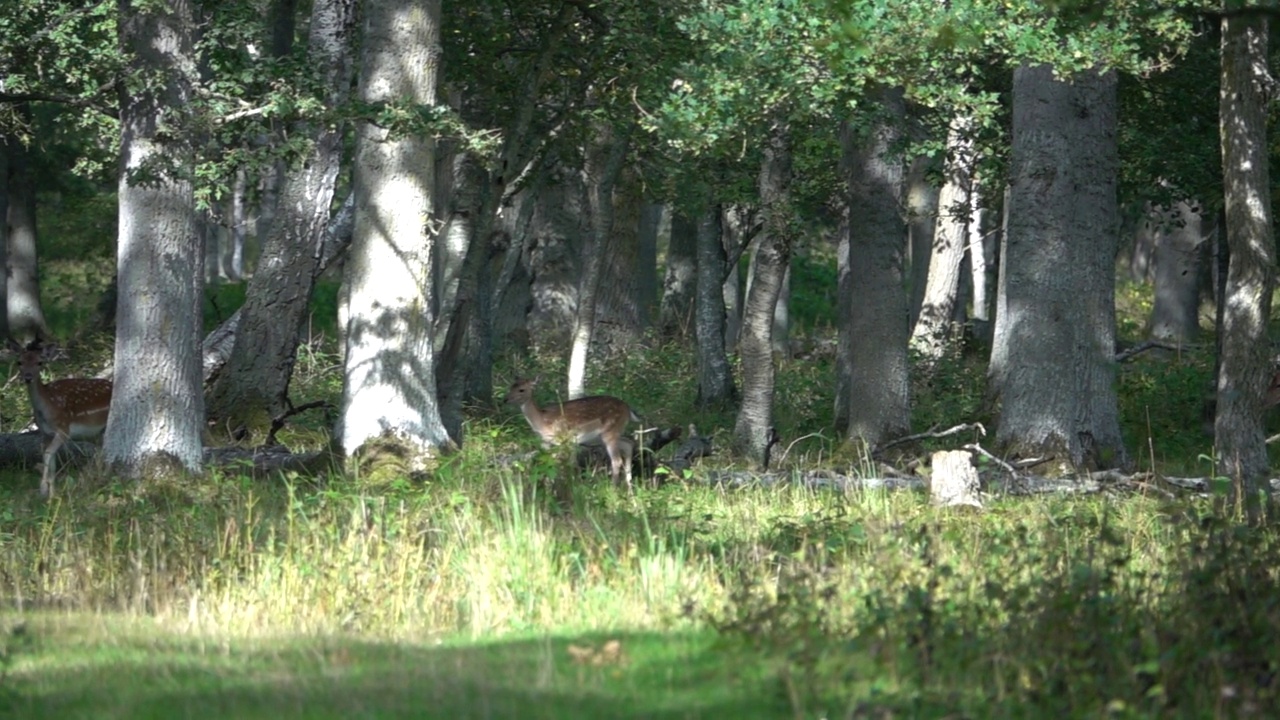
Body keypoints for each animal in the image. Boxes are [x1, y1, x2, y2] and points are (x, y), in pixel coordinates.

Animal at [499, 376, 640, 486]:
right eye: (511, 387)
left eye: (521, 389)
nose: (505, 399)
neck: (542, 421)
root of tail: (628, 410)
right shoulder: (546, 443)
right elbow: (546, 463)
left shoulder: (565, 440)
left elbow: (566, 464)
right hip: (603, 436)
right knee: (628, 443)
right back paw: (629, 489)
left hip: (610, 431)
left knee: (617, 460)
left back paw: (613, 489)